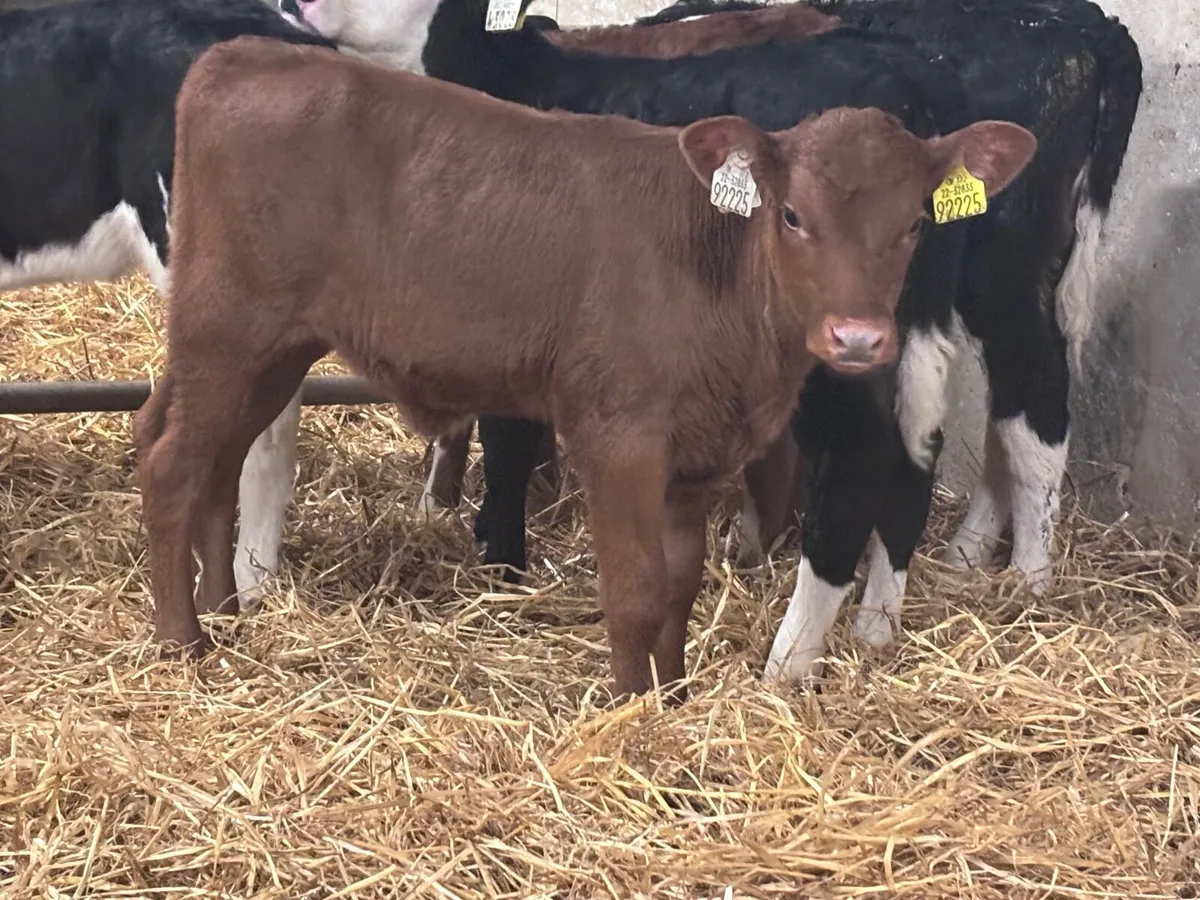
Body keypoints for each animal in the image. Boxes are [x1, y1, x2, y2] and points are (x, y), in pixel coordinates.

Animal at [137, 34, 1035, 700]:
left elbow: (679, 582)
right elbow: (634, 587)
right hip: (227, 331)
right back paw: (184, 644)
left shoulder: (696, 452)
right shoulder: (620, 435)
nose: (856, 338)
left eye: (915, 223)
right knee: (173, 465)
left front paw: (672, 696)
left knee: (212, 465)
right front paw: (630, 710)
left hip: (269, 351)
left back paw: (225, 613)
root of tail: (243, 53)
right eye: (791, 215)